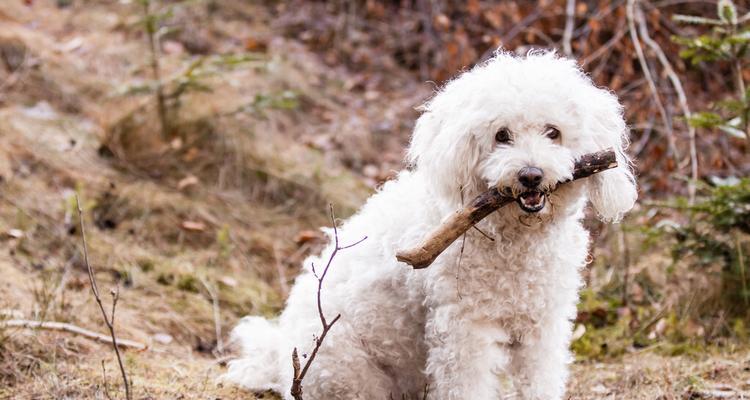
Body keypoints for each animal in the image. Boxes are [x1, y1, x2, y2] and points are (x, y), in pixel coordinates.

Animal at [226, 51, 636, 398]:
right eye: (502, 135)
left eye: (553, 132)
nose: (531, 175)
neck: (515, 240)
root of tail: (279, 355)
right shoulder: (465, 329)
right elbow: (468, 384)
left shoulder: (543, 325)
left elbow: (539, 381)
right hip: (346, 368)